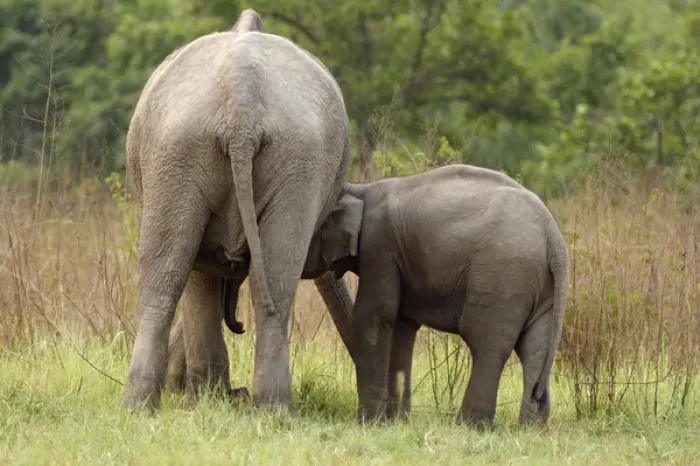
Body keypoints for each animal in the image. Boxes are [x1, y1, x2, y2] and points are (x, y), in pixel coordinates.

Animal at [122, 8, 357, 413]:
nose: (238, 326)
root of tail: (241, 106)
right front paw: (212, 397)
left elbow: (201, 272)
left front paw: (210, 397)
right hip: (193, 149)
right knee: (185, 273)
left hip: (250, 154)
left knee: (175, 272)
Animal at [166, 163, 570, 428]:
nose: (239, 326)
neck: (360, 187)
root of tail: (554, 238)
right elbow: (403, 326)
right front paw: (395, 419)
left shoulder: (381, 246)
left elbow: (376, 317)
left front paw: (369, 421)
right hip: (537, 286)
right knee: (534, 348)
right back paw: (531, 428)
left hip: (503, 278)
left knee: (487, 344)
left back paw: (470, 426)